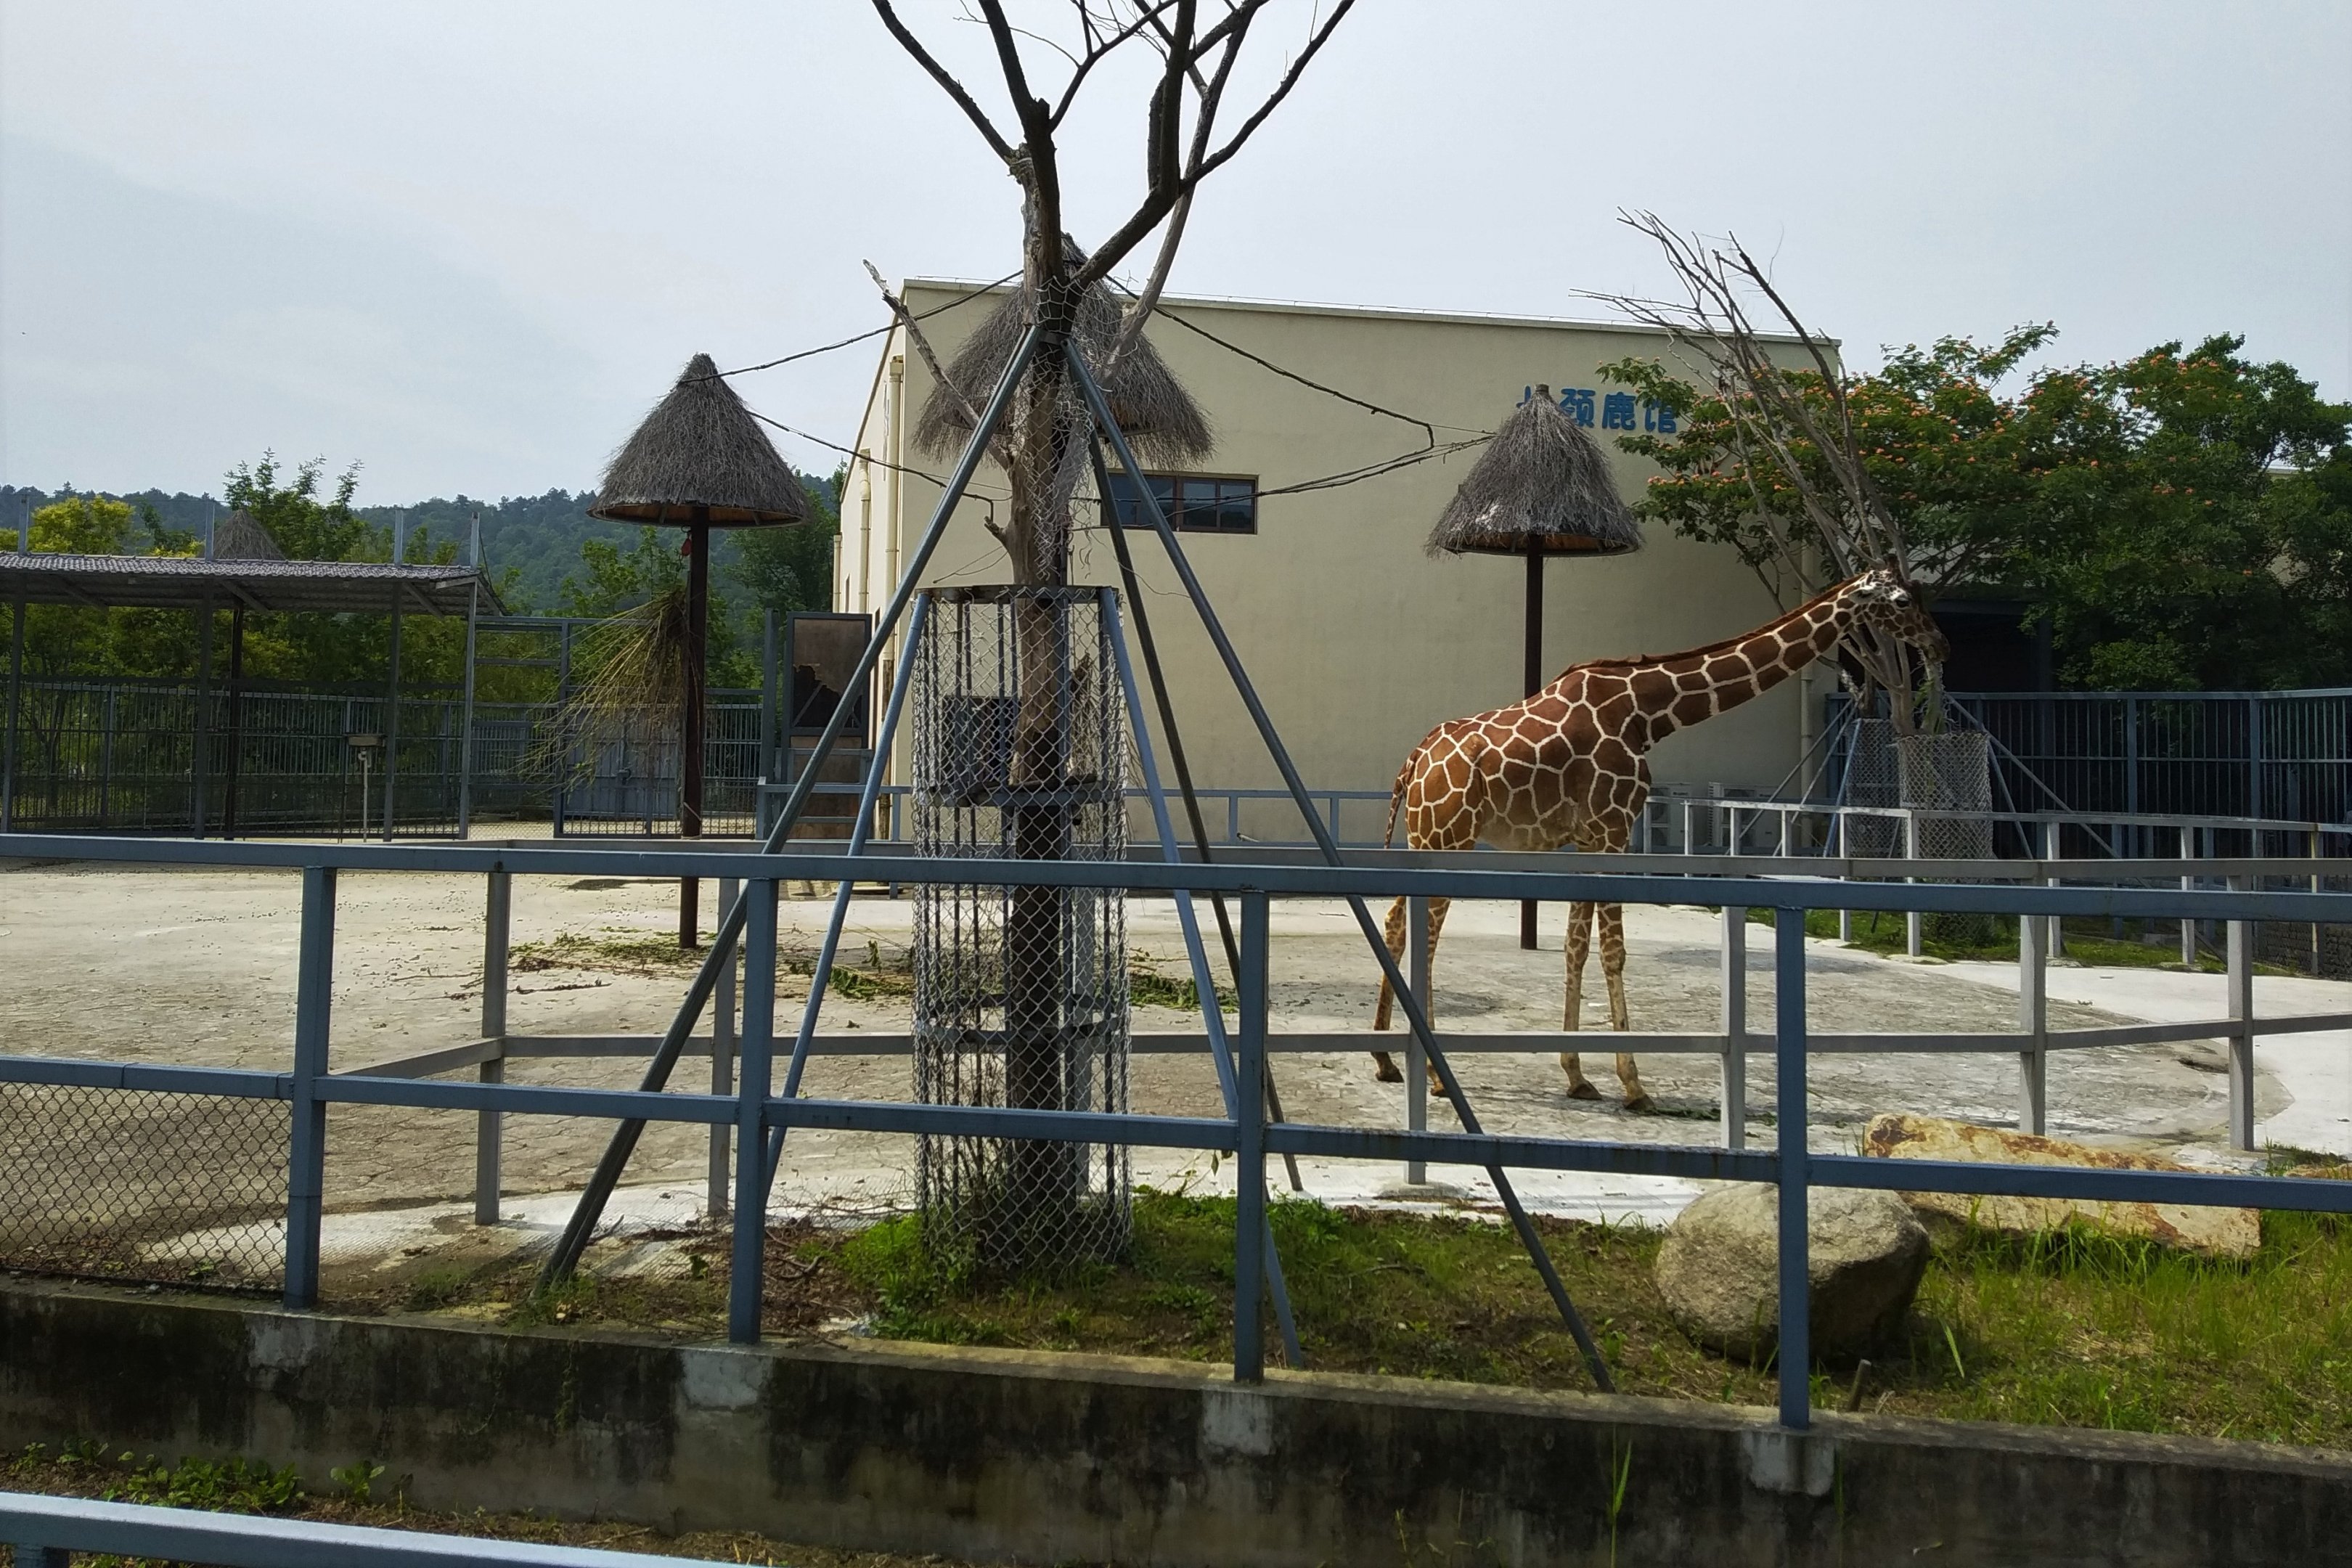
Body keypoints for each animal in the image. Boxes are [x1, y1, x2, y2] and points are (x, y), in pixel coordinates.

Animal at [1371, 566, 1948, 1108]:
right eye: (1902, 601)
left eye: (1921, 595)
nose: (1938, 642)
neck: (1648, 713)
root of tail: (1413, 762)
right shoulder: (1614, 829)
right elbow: (1614, 952)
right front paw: (1633, 1084)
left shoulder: (1589, 840)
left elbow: (1576, 947)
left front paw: (1578, 1076)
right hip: (1448, 836)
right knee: (1422, 933)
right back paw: (1433, 1074)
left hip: (1427, 838)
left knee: (1397, 924)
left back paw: (1386, 1060)